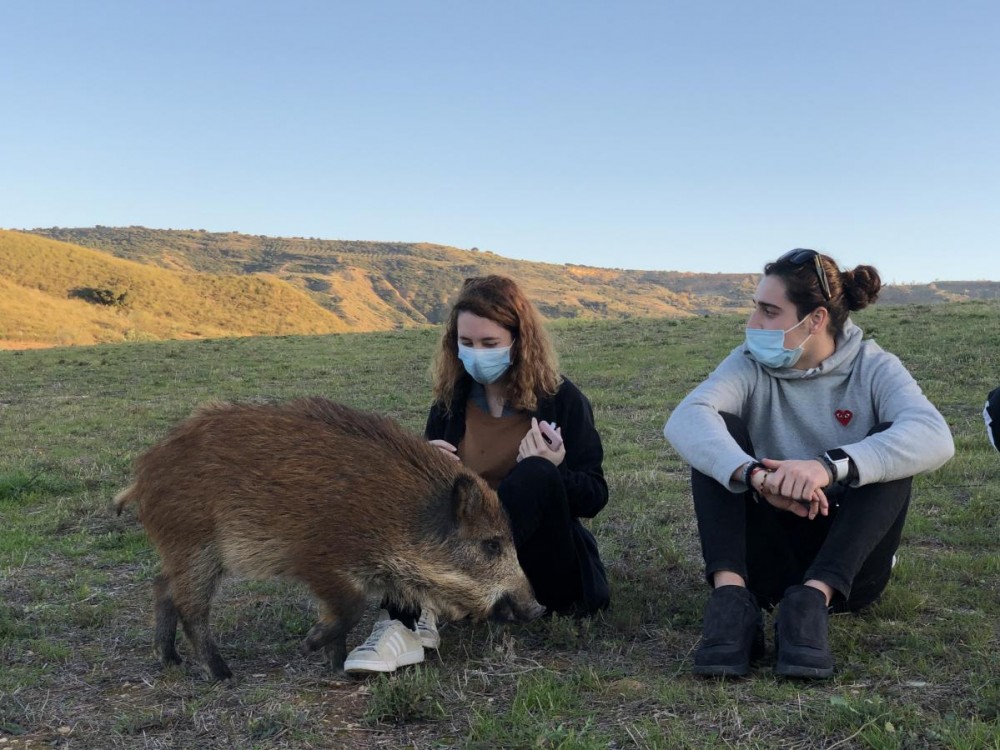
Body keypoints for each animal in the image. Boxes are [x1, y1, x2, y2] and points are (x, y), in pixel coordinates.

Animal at [115, 397, 544, 680]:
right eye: (491, 544)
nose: (537, 608)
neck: (399, 519)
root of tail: (143, 472)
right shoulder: (318, 559)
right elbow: (351, 608)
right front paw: (310, 647)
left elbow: (345, 615)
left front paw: (337, 666)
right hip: (195, 546)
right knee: (191, 607)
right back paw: (222, 674)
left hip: (186, 551)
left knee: (162, 586)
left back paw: (170, 660)